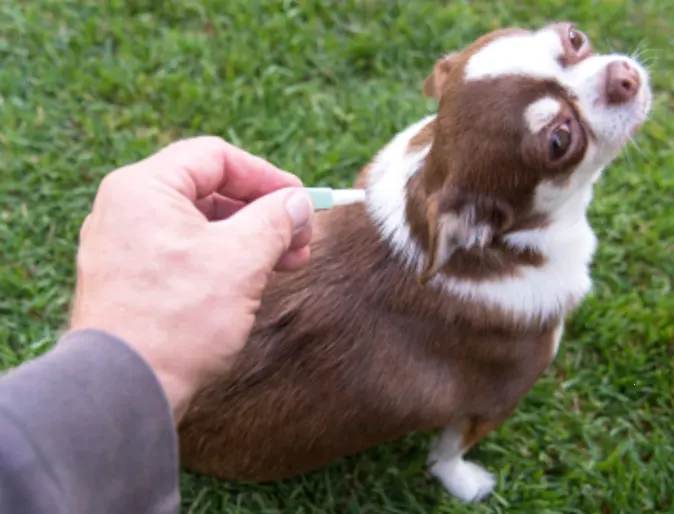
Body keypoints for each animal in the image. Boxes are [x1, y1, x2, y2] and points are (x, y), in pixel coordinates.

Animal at [176, 21, 648, 500]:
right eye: (559, 140)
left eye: (574, 38)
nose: (624, 77)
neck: (505, 245)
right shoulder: (494, 399)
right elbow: (449, 452)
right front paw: (467, 485)